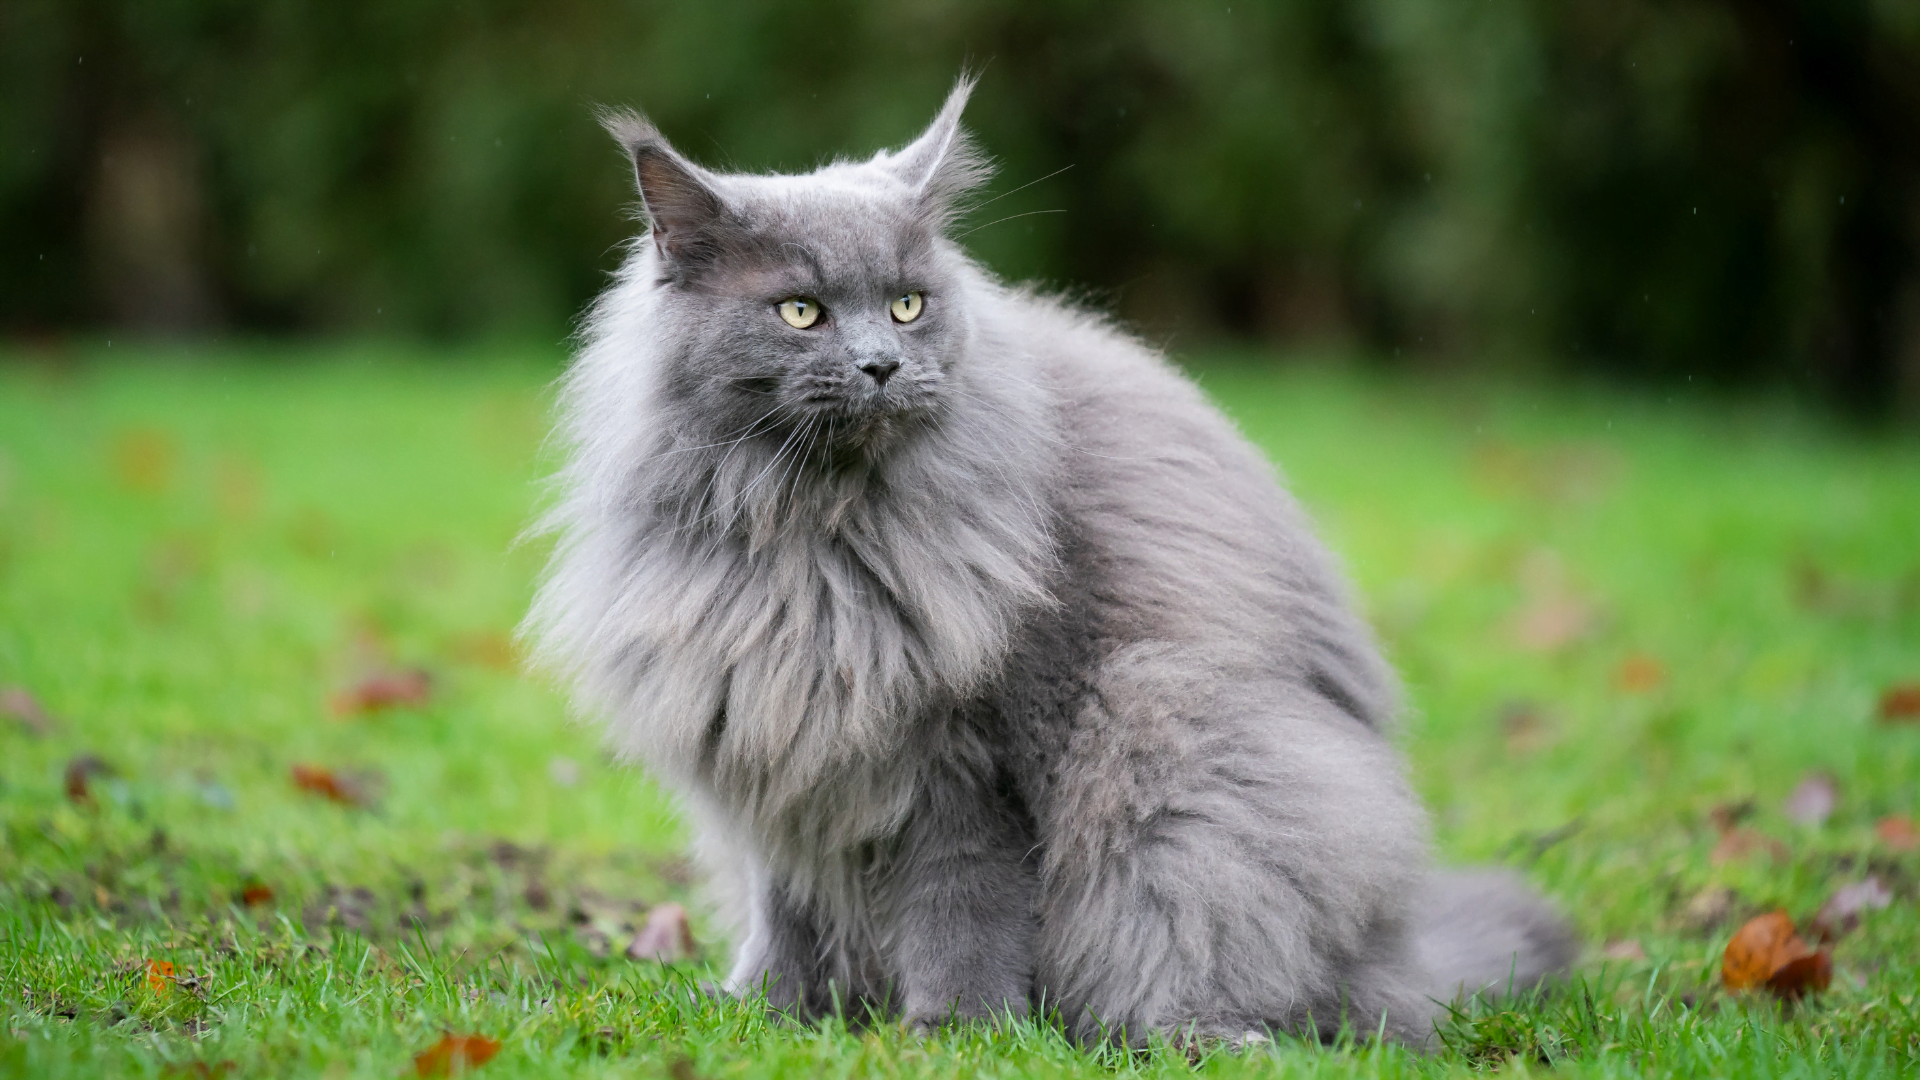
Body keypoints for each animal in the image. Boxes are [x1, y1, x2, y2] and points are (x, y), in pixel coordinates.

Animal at [518, 73, 1566, 1045]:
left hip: (1182, 753)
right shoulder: (775, 739)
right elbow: (790, 909)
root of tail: (1403, 950)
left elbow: (963, 909)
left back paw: (1202, 1035)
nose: (880, 366)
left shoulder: (967, 765)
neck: (813, 541)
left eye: (908, 305)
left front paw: (954, 1033)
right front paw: (772, 1015)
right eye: (802, 312)